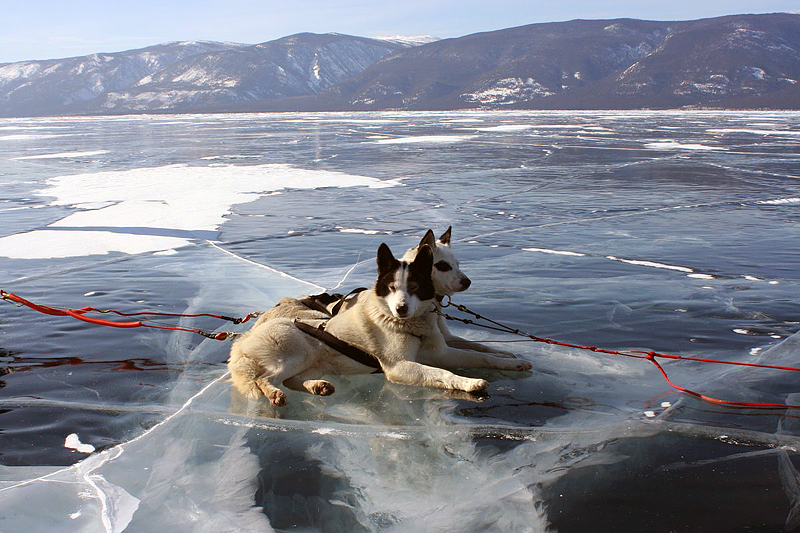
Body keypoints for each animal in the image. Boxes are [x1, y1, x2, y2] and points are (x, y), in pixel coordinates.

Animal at [227, 243, 532, 406]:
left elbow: (481, 354)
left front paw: (512, 361)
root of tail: (243, 339)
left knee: (291, 379)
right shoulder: (400, 367)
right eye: (392, 287)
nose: (401, 309)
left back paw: (317, 386)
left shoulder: (440, 350)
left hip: (311, 361)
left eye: (415, 286)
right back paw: (275, 393)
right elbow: (443, 373)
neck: (412, 324)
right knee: (265, 379)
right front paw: (470, 384)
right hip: (297, 352)